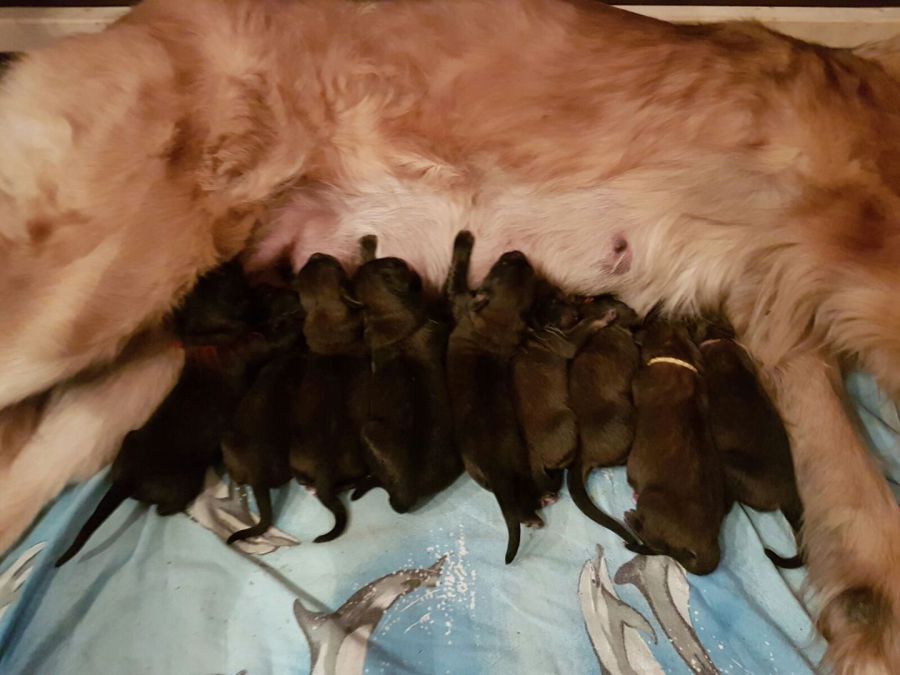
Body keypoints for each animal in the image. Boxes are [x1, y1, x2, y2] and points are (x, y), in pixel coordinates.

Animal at [446, 231, 543, 564]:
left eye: (499, 265)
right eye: (508, 265)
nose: (517, 253)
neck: (498, 320)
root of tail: (499, 472)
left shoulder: (459, 299)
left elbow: (456, 272)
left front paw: (463, 239)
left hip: (476, 472)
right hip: (521, 472)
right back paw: (535, 514)